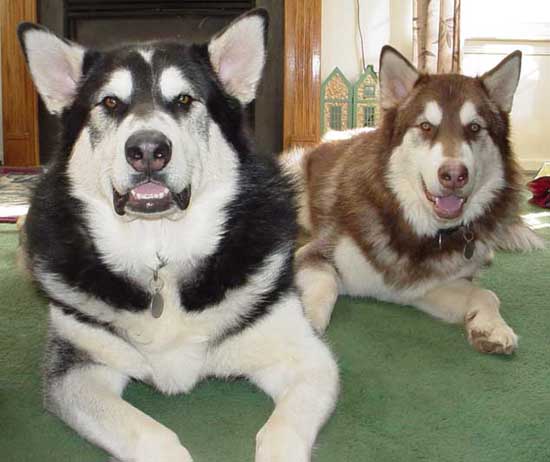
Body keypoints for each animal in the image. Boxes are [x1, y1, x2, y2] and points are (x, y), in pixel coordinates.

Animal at [19, 10, 338, 462]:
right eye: (110, 103)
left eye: (185, 100)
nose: (148, 150)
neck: (161, 254)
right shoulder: (74, 366)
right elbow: (147, 433)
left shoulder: (305, 357)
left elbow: (283, 432)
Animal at [286, 46, 544, 354]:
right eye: (425, 126)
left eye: (474, 128)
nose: (454, 175)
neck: (411, 224)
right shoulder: (314, 254)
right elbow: (324, 287)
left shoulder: (423, 286)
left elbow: (486, 294)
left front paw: (492, 327)